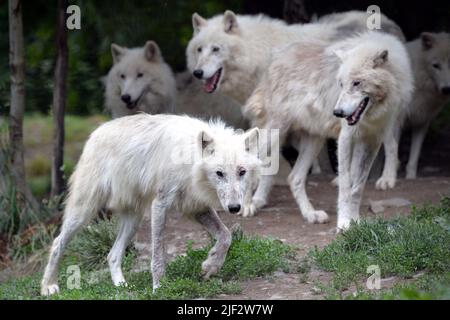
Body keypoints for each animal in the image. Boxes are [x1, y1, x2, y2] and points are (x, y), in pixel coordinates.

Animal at [40, 114, 262, 296]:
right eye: (219, 173)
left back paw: (122, 286)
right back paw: (48, 286)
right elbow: (157, 256)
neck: (189, 159)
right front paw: (159, 287)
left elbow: (226, 236)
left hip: (133, 221)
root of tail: (95, 133)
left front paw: (210, 266)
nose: (234, 208)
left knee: (112, 255)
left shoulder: (195, 207)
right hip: (84, 212)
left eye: (242, 172)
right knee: (57, 242)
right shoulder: (160, 205)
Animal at [376, 31, 450, 190]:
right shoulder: (397, 121)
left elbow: (414, 158)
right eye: (436, 65)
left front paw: (410, 177)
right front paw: (388, 178)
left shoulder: (422, 122)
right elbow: (393, 150)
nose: (447, 89)